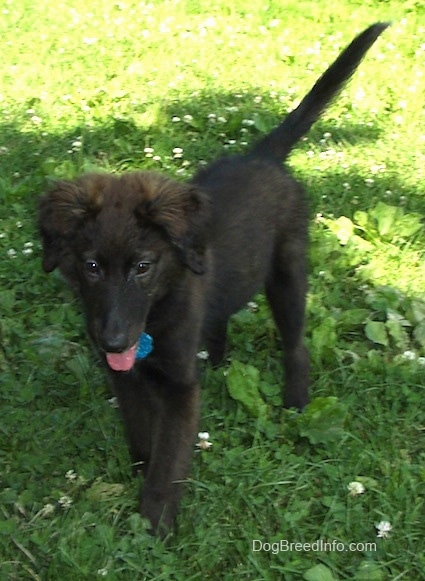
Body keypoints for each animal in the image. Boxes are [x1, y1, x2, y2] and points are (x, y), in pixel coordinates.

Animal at [39, 23, 388, 536]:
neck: (156, 312)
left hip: (288, 272)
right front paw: (140, 471)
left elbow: (170, 456)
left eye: (143, 266)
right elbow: (141, 432)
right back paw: (220, 359)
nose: (113, 340)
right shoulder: (125, 377)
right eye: (91, 266)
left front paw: (155, 522)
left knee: (296, 344)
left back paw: (296, 402)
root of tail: (263, 156)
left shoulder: (180, 389)